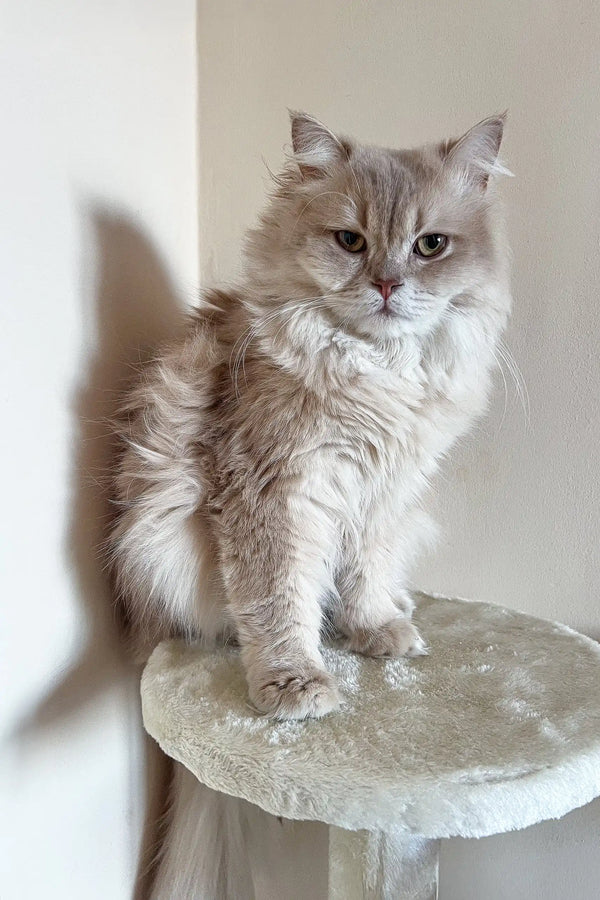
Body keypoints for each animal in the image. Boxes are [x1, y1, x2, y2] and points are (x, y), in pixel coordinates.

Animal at [109, 112, 510, 720]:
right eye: (350, 241)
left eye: (430, 245)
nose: (387, 284)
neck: (378, 372)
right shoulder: (273, 488)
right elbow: (278, 600)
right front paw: (294, 683)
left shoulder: (382, 493)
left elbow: (364, 575)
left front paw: (374, 630)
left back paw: (396, 609)